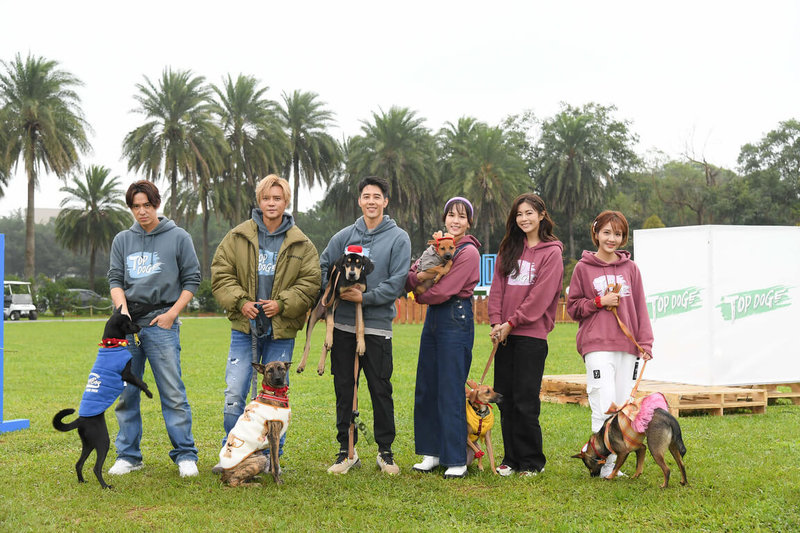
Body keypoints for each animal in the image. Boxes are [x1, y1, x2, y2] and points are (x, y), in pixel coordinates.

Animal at [296, 245, 376, 374]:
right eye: (347, 262)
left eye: (359, 263)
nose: (352, 274)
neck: (351, 282)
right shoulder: (331, 296)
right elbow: (331, 324)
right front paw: (329, 339)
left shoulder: (358, 299)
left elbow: (361, 324)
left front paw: (361, 345)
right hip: (314, 315)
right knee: (308, 344)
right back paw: (301, 365)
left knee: (325, 344)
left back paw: (321, 366)